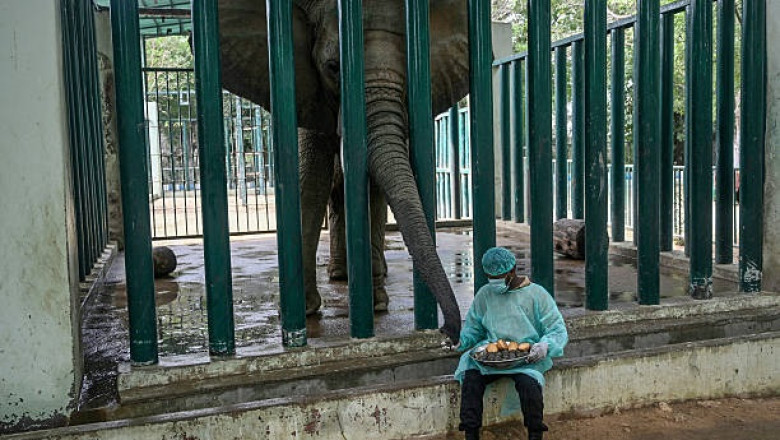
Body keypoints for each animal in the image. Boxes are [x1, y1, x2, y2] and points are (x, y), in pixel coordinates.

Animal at [216, 0, 470, 343]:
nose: (448, 331)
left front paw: (376, 304)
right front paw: (303, 312)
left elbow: (370, 186)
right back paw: (338, 275)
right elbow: (310, 179)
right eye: (333, 67)